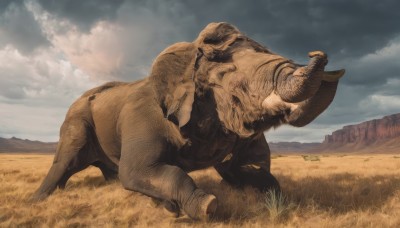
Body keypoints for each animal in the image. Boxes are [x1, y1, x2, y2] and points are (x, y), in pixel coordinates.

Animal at [32, 22, 344, 220]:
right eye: (229, 73)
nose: (318, 54)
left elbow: (245, 169)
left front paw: (276, 198)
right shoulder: (143, 117)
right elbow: (136, 171)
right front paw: (208, 206)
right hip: (76, 123)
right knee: (67, 162)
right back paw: (37, 199)